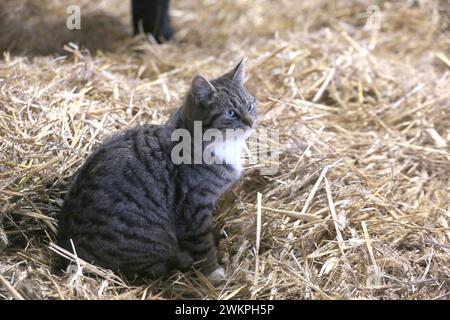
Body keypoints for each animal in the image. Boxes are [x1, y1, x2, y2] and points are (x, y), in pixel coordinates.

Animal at [56, 60, 256, 282]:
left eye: (250, 105)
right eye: (231, 113)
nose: (251, 122)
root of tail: (65, 248)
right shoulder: (193, 207)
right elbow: (201, 244)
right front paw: (213, 271)